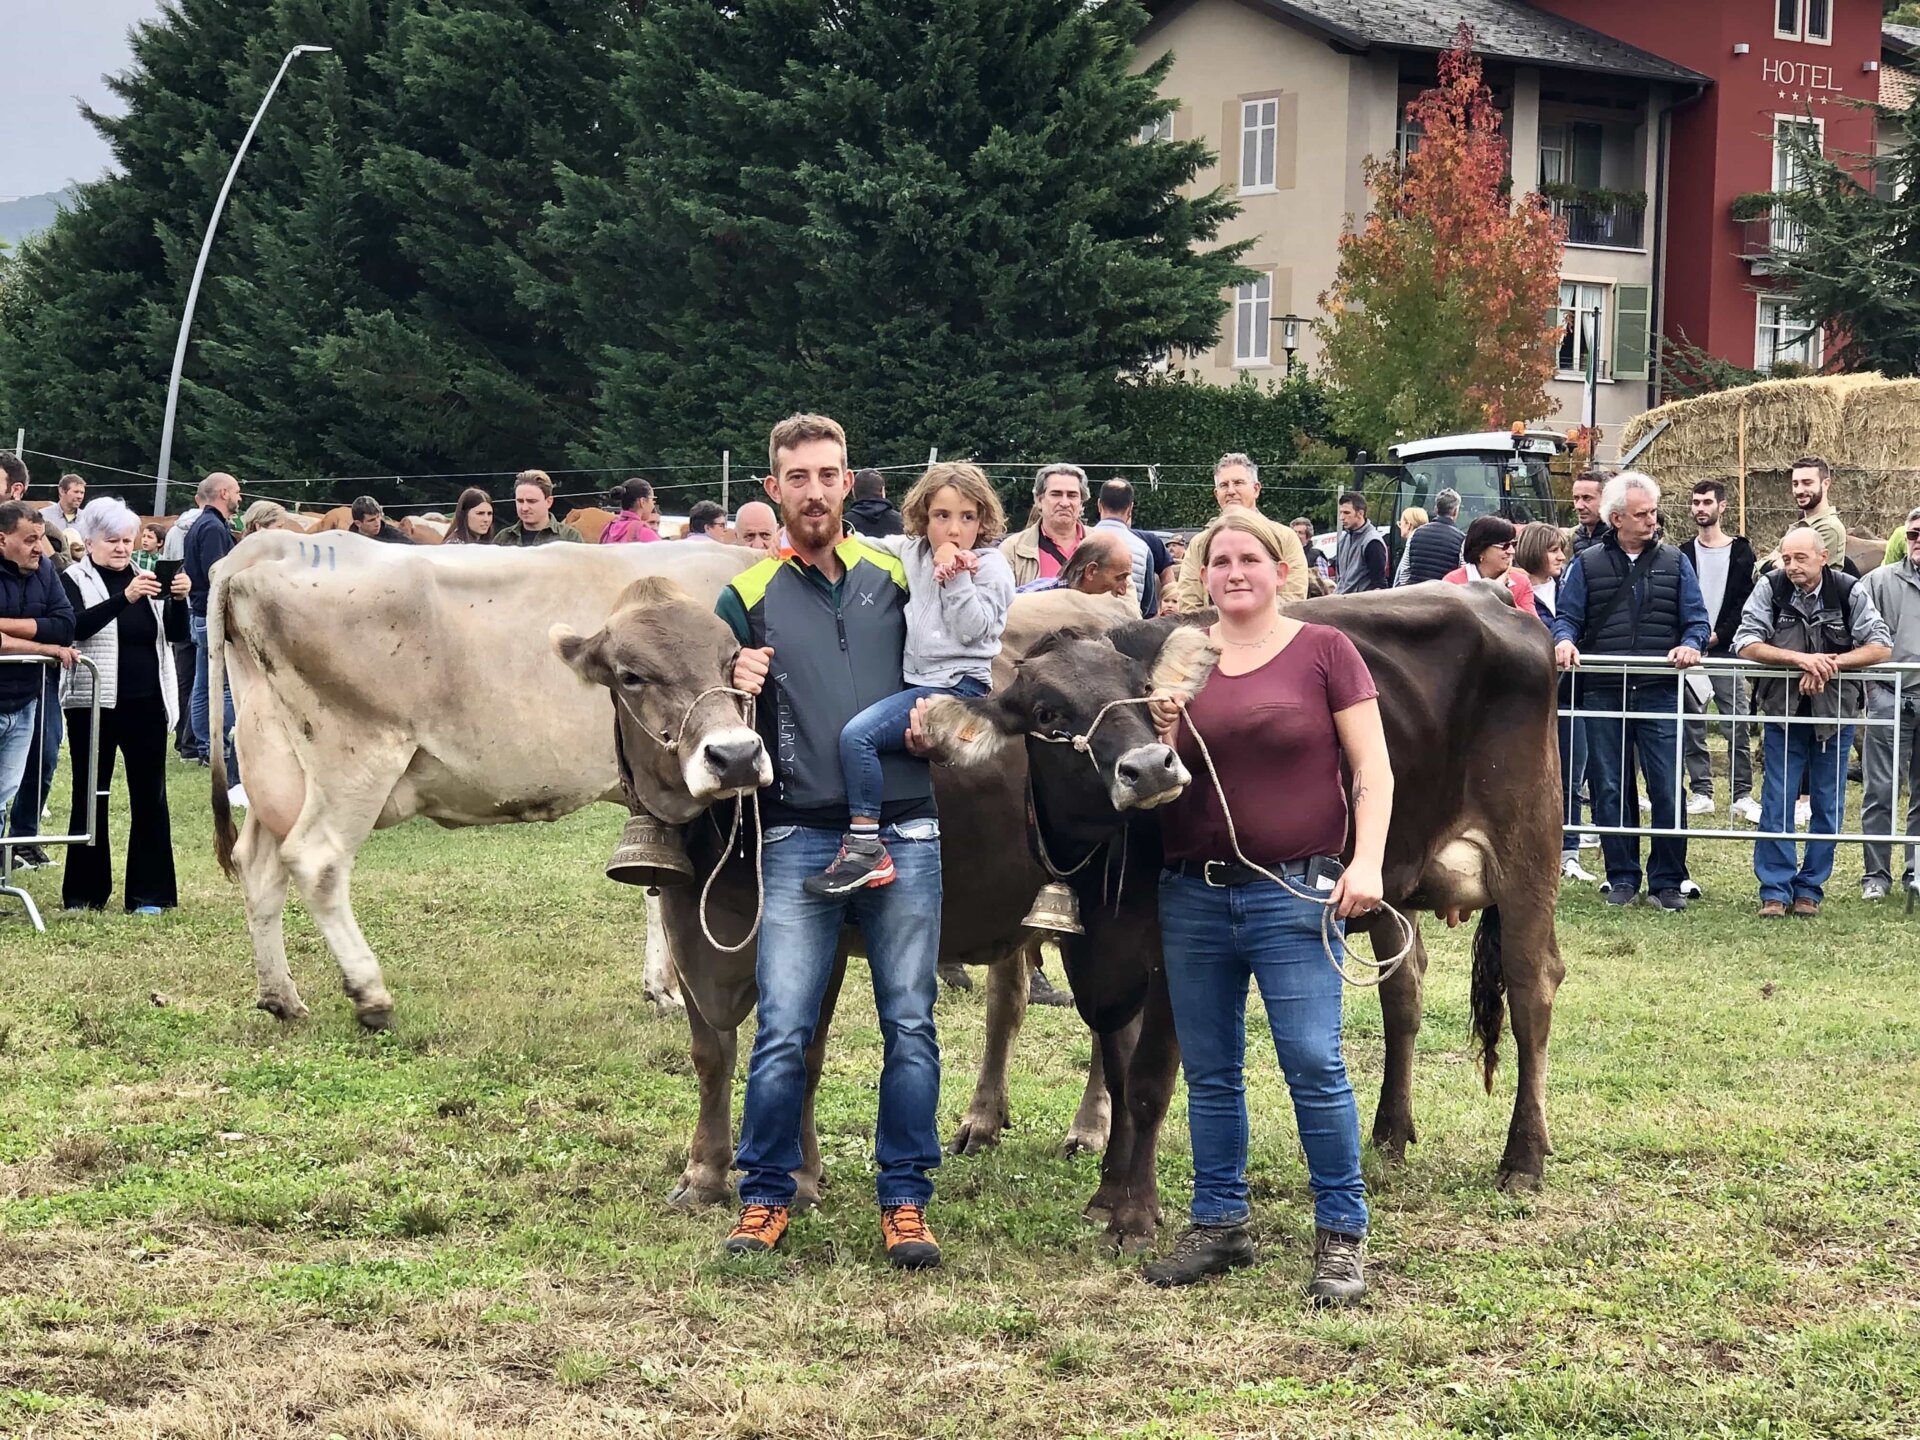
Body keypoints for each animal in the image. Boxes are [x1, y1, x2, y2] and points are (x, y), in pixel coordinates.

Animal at [929, 583, 1574, 1244]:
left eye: (1144, 689)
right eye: (1046, 713)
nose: (1152, 767)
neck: (1106, 863)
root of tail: (1490, 597)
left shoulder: (1173, 954)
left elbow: (1149, 1080)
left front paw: (1135, 1214)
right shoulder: (1095, 953)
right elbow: (1115, 1066)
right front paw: (1108, 1194)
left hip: (1530, 845)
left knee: (1532, 990)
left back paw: (1523, 1157)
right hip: (1389, 876)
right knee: (1405, 991)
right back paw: (1390, 1135)